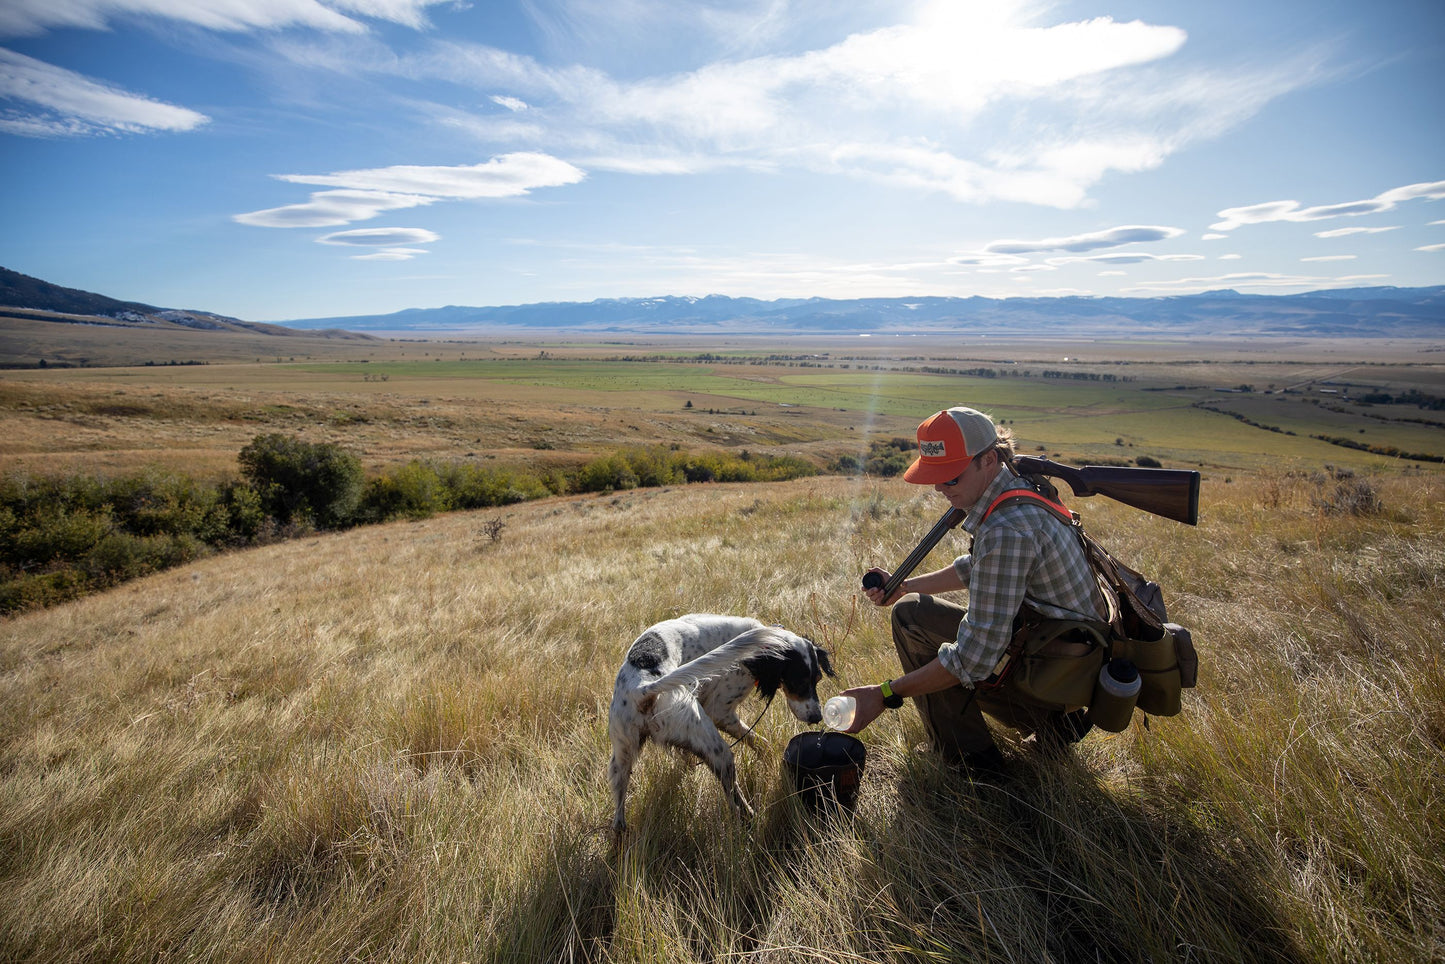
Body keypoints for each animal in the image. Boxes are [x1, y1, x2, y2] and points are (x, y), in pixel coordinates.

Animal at [606, 618, 838, 838]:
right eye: (798, 682)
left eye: (817, 680)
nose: (817, 717)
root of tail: (643, 688)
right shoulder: (720, 711)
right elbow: (759, 741)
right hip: (719, 751)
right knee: (734, 800)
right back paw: (751, 819)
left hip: (622, 756)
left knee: (618, 817)